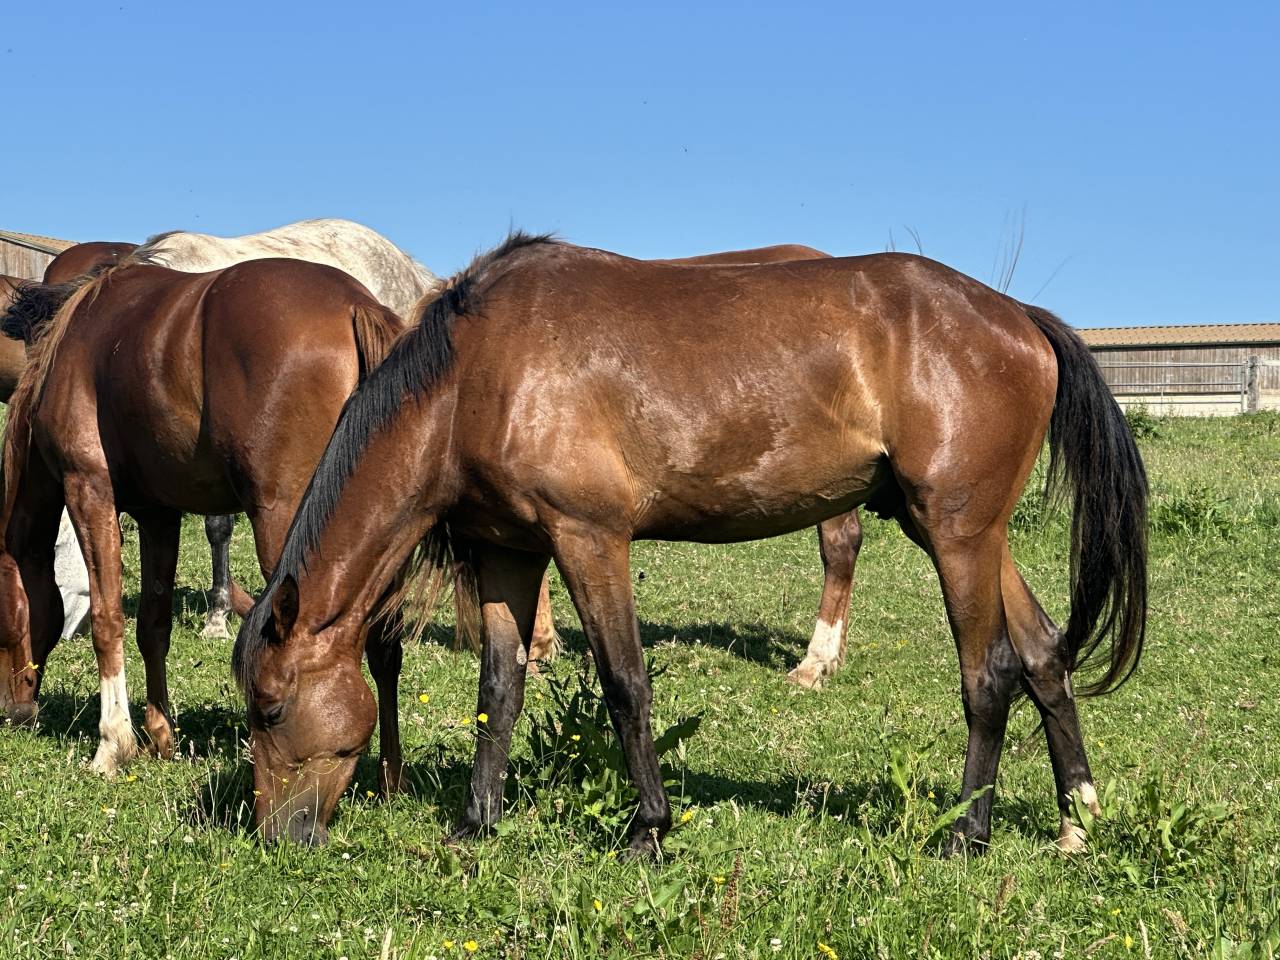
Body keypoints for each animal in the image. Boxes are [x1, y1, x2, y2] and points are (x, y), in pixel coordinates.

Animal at [0, 257, 406, 780]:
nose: (13, 711)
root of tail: (356, 304)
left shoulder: (89, 490)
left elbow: (108, 620)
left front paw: (113, 743)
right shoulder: (158, 515)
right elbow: (153, 624)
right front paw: (159, 734)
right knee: (385, 644)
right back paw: (389, 776)